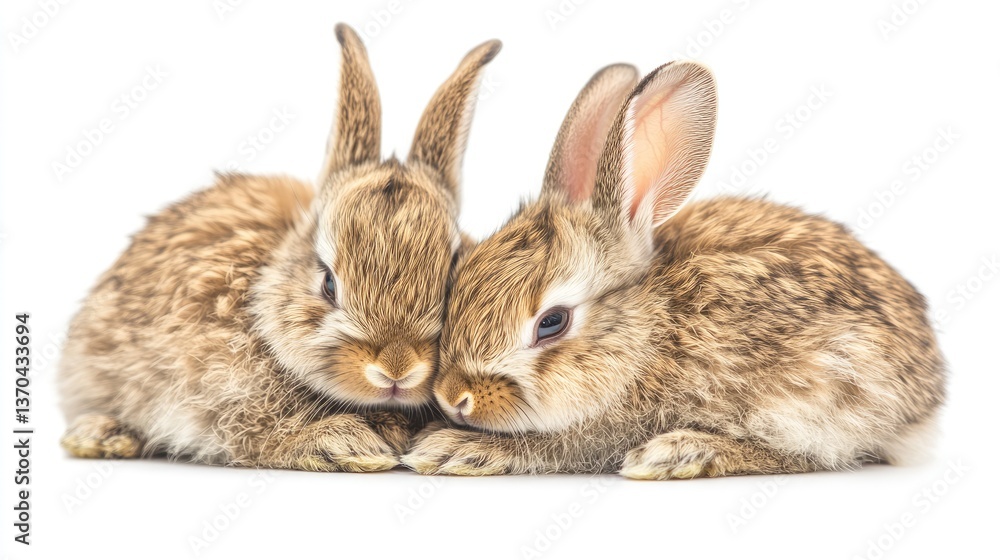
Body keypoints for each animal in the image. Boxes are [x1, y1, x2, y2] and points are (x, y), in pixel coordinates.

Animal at [58, 24, 501, 472]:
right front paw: (350, 443)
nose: (396, 369)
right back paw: (103, 435)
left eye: (452, 279)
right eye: (327, 283)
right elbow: (254, 433)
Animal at [401, 62, 946, 478]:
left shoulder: (605, 427)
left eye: (552, 323)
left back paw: (681, 453)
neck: (646, 332)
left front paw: (451, 449)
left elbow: (559, 446)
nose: (455, 398)